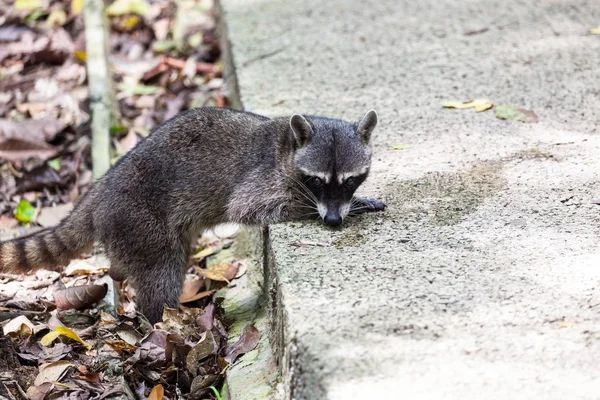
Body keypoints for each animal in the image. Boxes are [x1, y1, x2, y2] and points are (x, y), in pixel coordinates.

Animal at [0, 107, 384, 322]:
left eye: (350, 179)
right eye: (316, 180)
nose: (332, 220)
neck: (288, 147)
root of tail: (101, 188)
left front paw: (356, 201)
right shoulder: (262, 178)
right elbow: (247, 207)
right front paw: (326, 208)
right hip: (137, 220)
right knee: (162, 271)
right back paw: (162, 320)